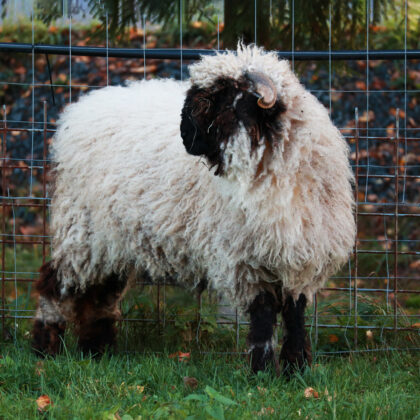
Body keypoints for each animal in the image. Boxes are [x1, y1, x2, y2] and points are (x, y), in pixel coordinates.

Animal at [31, 44, 356, 376]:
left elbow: (295, 315)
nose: (186, 136)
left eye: (220, 99)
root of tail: (79, 110)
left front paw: (296, 370)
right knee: (55, 284)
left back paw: (97, 352)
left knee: (100, 295)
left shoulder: (302, 258)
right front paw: (263, 371)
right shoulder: (245, 259)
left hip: (110, 241)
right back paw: (45, 349)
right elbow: (263, 315)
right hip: (81, 229)